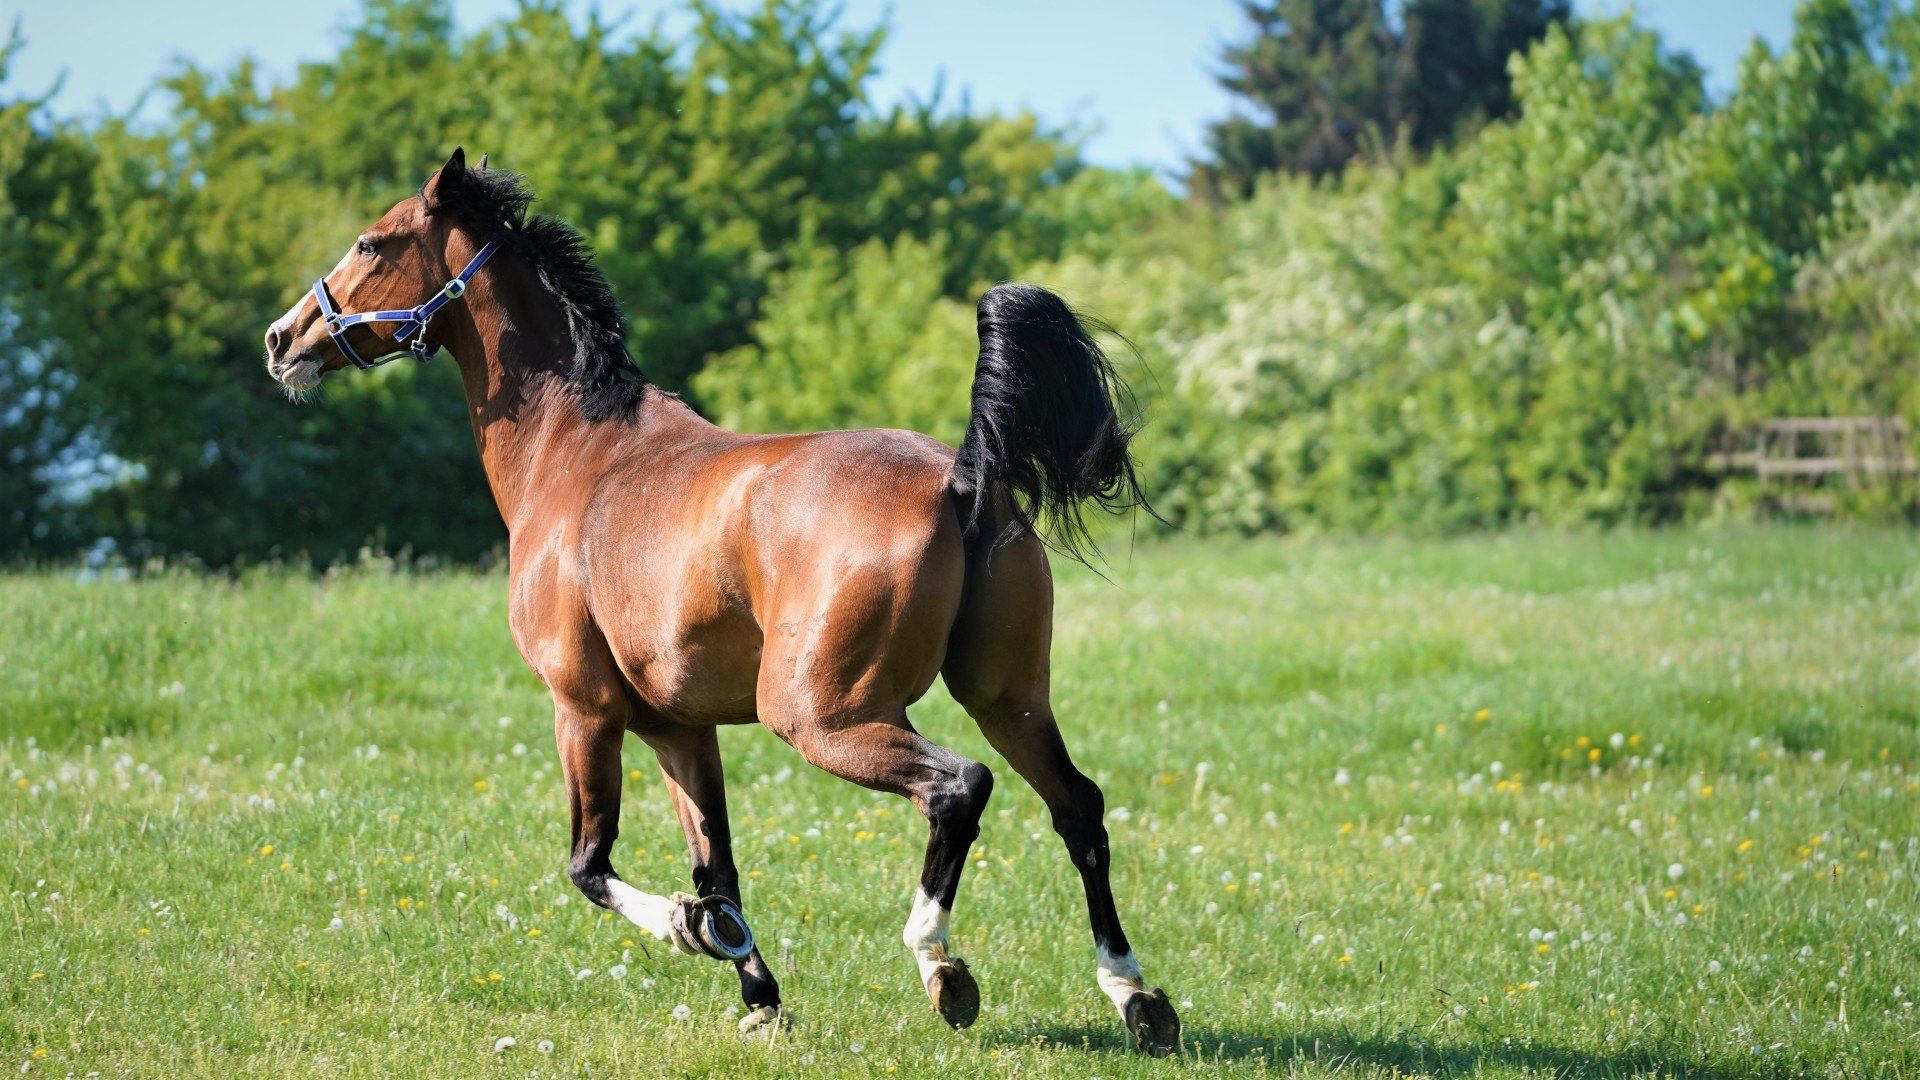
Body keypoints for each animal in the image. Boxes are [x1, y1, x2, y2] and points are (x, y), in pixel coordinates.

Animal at [262, 148, 1181, 1056]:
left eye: (372, 243)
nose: (282, 338)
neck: (575, 454)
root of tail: (962, 478)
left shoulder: (584, 710)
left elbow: (590, 865)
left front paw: (691, 928)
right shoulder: (678, 728)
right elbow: (719, 865)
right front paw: (758, 991)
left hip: (822, 716)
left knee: (960, 788)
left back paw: (942, 968)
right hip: (1007, 698)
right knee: (1078, 808)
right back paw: (1136, 996)